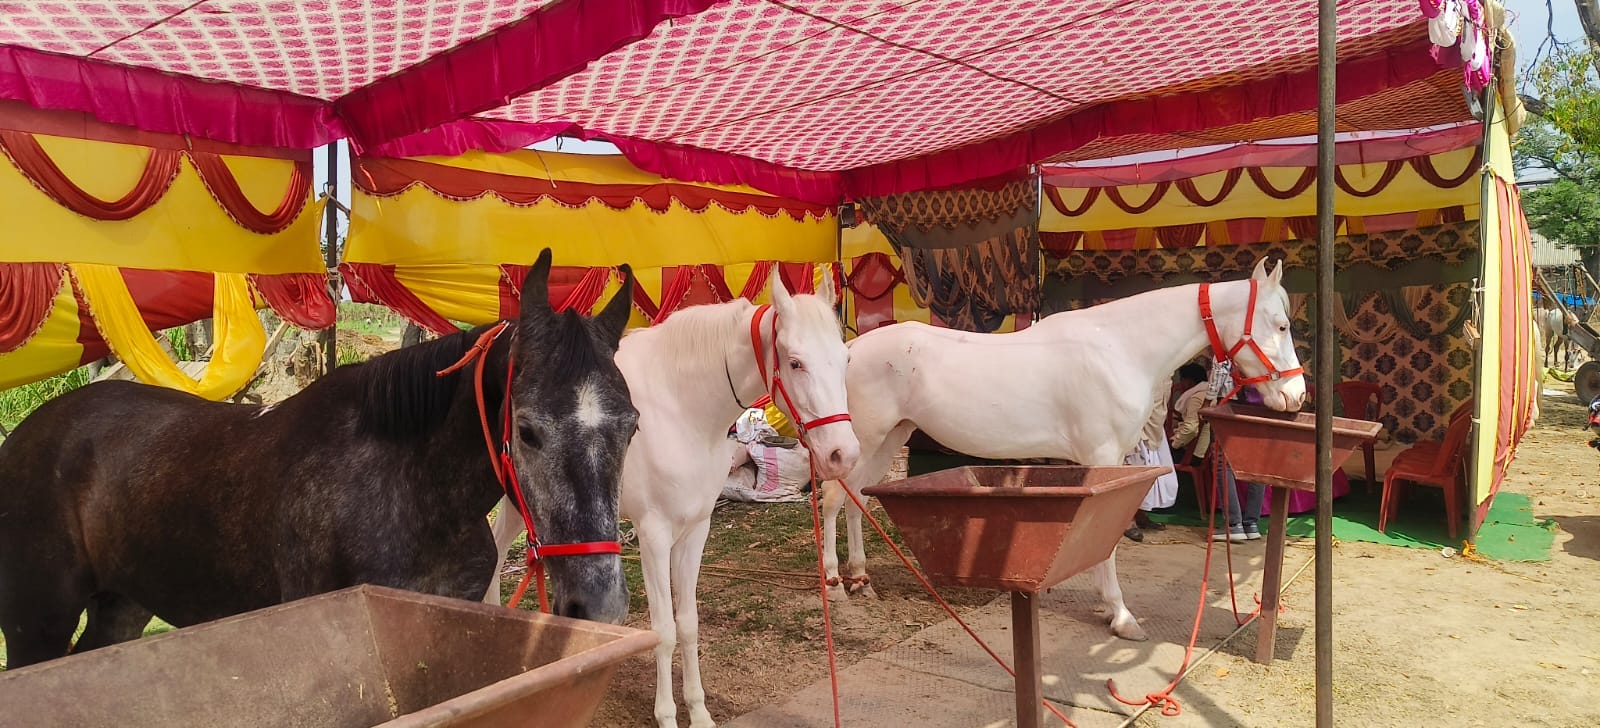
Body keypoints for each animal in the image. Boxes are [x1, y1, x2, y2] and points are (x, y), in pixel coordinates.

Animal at [0, 249, 639, 669]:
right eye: (527, 431)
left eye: (631, 427)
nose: (599, 604)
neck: (411, 492)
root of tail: (26, 433)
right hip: (38, 626)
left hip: (123, 606)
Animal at [484, 269, 859, 728]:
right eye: (794, 363)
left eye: (845, 360)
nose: (843, 454)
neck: (682, 409)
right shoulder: (654, 537)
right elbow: (663, 630)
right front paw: (666, 715)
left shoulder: (696, 529)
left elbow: (689, 623)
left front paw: (698, 711)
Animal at [820, 258, 1306, 642]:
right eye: (1281, 325)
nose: (1297, 395)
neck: (1119, 348)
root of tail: (849, 348)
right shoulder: (1104, 457)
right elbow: (1109, 542)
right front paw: (1121, 615)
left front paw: (1106, 606)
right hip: (864, 437)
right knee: (833, 498)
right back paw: (834, 583)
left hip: (892, 437)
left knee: (856, 497)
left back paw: (861, 578)